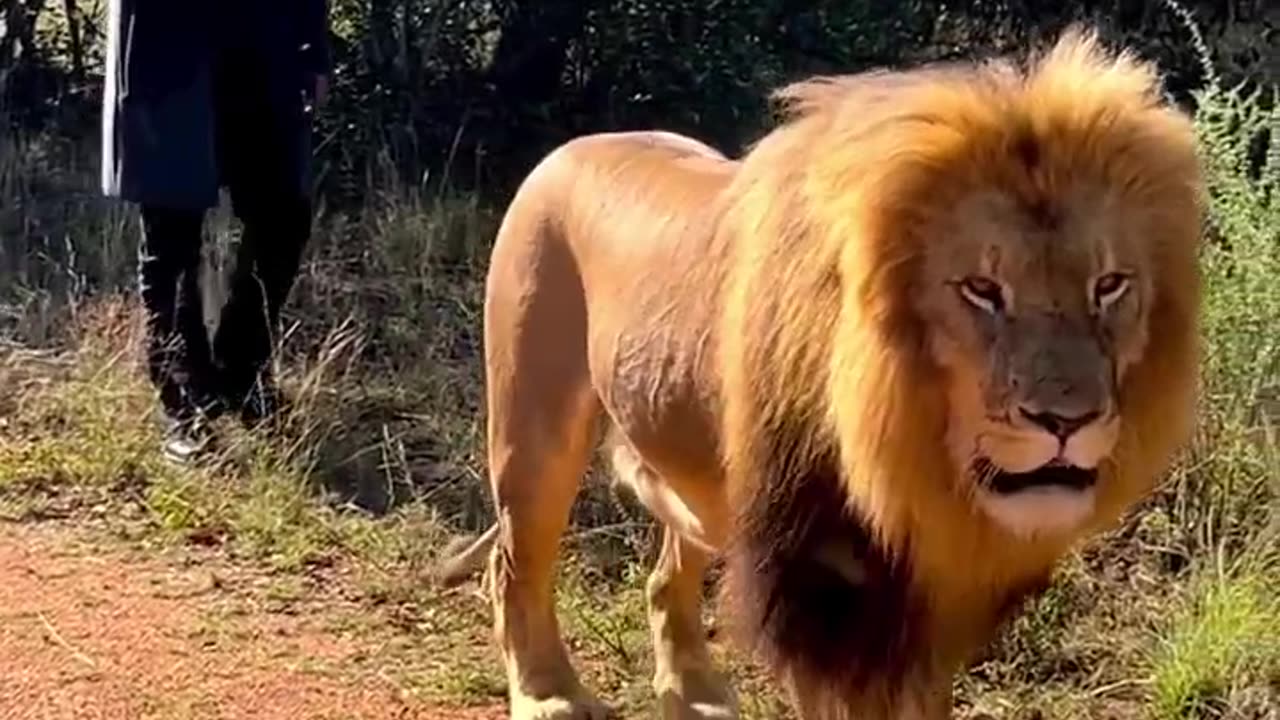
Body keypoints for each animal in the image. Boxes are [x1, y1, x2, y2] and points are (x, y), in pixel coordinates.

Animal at [435, 26, 1203, 717]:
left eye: (1109, 286)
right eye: (982, 290)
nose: (1066, 421)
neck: (908, 465)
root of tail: (571, 148)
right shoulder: (813, 581)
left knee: (663, 575)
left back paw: (695, 692)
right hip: (534, 432)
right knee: (514, 568)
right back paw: (549, 695)